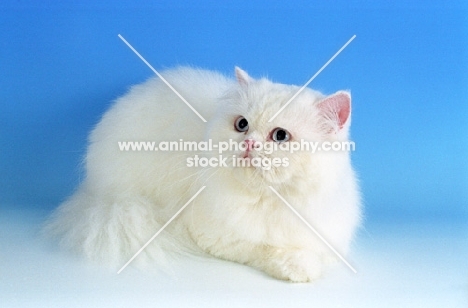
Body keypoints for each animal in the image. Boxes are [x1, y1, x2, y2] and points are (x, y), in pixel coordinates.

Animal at [45, 67, 362, 282]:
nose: (249, 143)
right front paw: (299, 267)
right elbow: (267, 249)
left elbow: (321, 252)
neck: (272, 199)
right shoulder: (217, 237)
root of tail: (94, 192)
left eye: (280, 136)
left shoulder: (331, 239)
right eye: (242, 125)